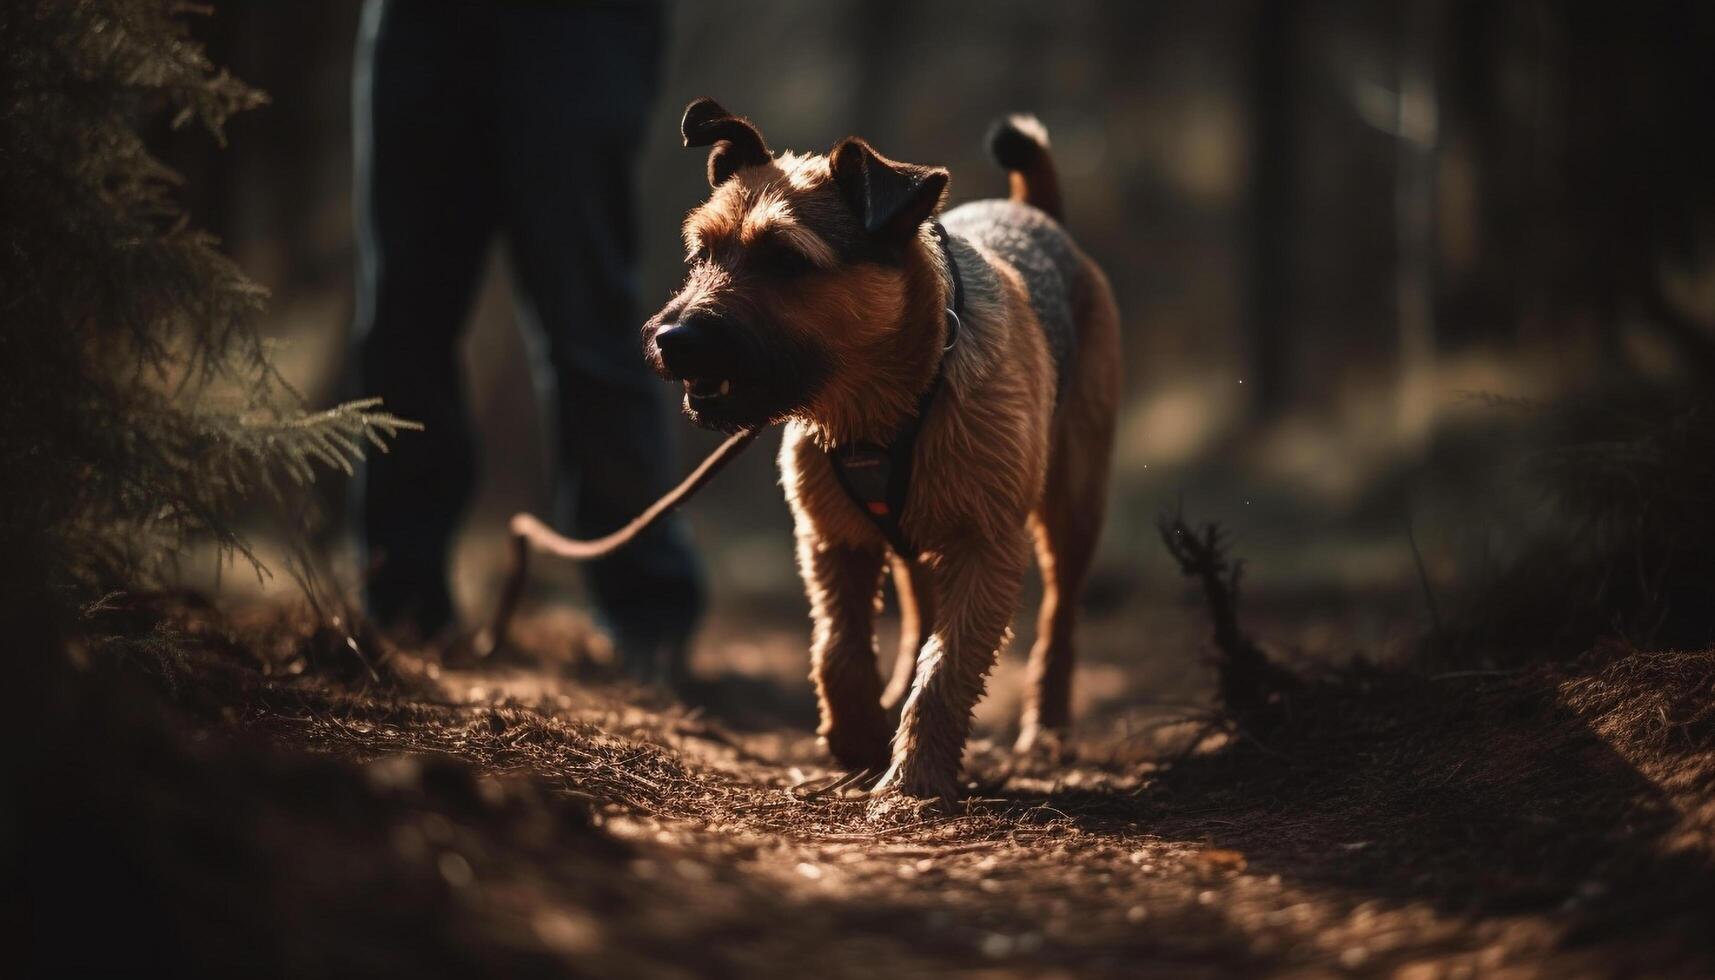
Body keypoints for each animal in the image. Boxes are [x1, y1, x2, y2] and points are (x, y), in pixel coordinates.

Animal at [644, 97, 1125, 806]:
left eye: (786, 259)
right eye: (702, 250)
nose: (671, 339)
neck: (884, 406)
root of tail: (1037, 213)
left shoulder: (986, 549)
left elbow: (948, 669)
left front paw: (913, 780)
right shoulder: (833, 540)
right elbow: (838, 650)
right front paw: (861, 738)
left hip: (1072, 508)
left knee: (1058, 623)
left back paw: (1047, 731)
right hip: (913, 541)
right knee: (920, 616)